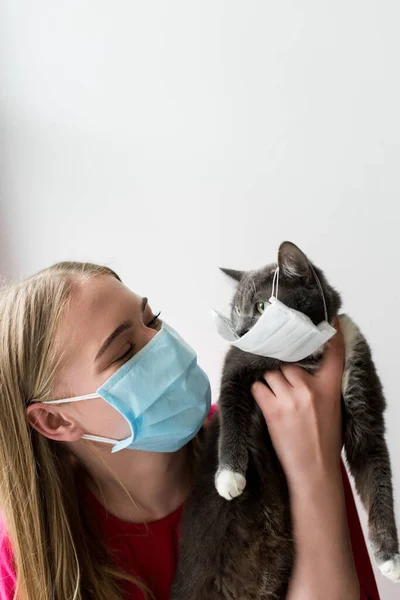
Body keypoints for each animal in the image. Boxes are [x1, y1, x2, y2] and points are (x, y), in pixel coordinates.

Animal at [172, 240, 400, 600]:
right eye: (235, 312)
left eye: (261, 306)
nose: (239, 330)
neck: (308, 355)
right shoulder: (237, 363)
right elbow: (231, 411)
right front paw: (228, 477)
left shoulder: (359, 378)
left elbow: (375, 471)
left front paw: (389, 558)